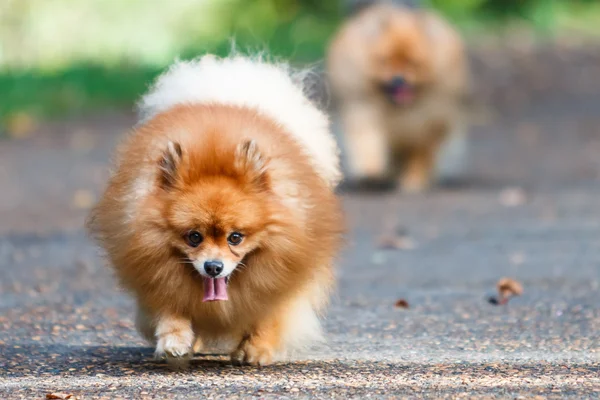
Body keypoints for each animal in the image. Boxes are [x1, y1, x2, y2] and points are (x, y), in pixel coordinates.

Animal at [86, 54, 344, 368]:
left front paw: (257, 349)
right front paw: (175, 341)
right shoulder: (153, 268)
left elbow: (270, 315)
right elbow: (170, 309)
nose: (213, 267)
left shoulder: (285, 272)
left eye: (236, 238)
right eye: (193, 237)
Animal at [326, 0, 472, 194]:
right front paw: (372, 173)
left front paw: (414, 181)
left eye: (413, 63)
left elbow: (420, 156)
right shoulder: (364, 109)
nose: (398, 79)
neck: (399, 108)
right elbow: (368, 142)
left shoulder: (429, 124)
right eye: (385, 61)